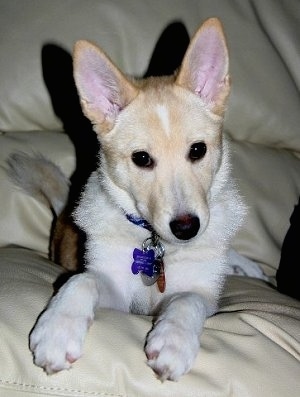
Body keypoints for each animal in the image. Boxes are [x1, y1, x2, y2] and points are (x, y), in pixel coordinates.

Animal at [8, 19, 246, 380]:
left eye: (198, 150)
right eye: (142, 159)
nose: (186, 228)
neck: (157, 247)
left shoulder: (204, 291)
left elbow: (186, 300)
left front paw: (174, 341)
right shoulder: (115, 290)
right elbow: (83, 280)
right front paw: (59, 330)